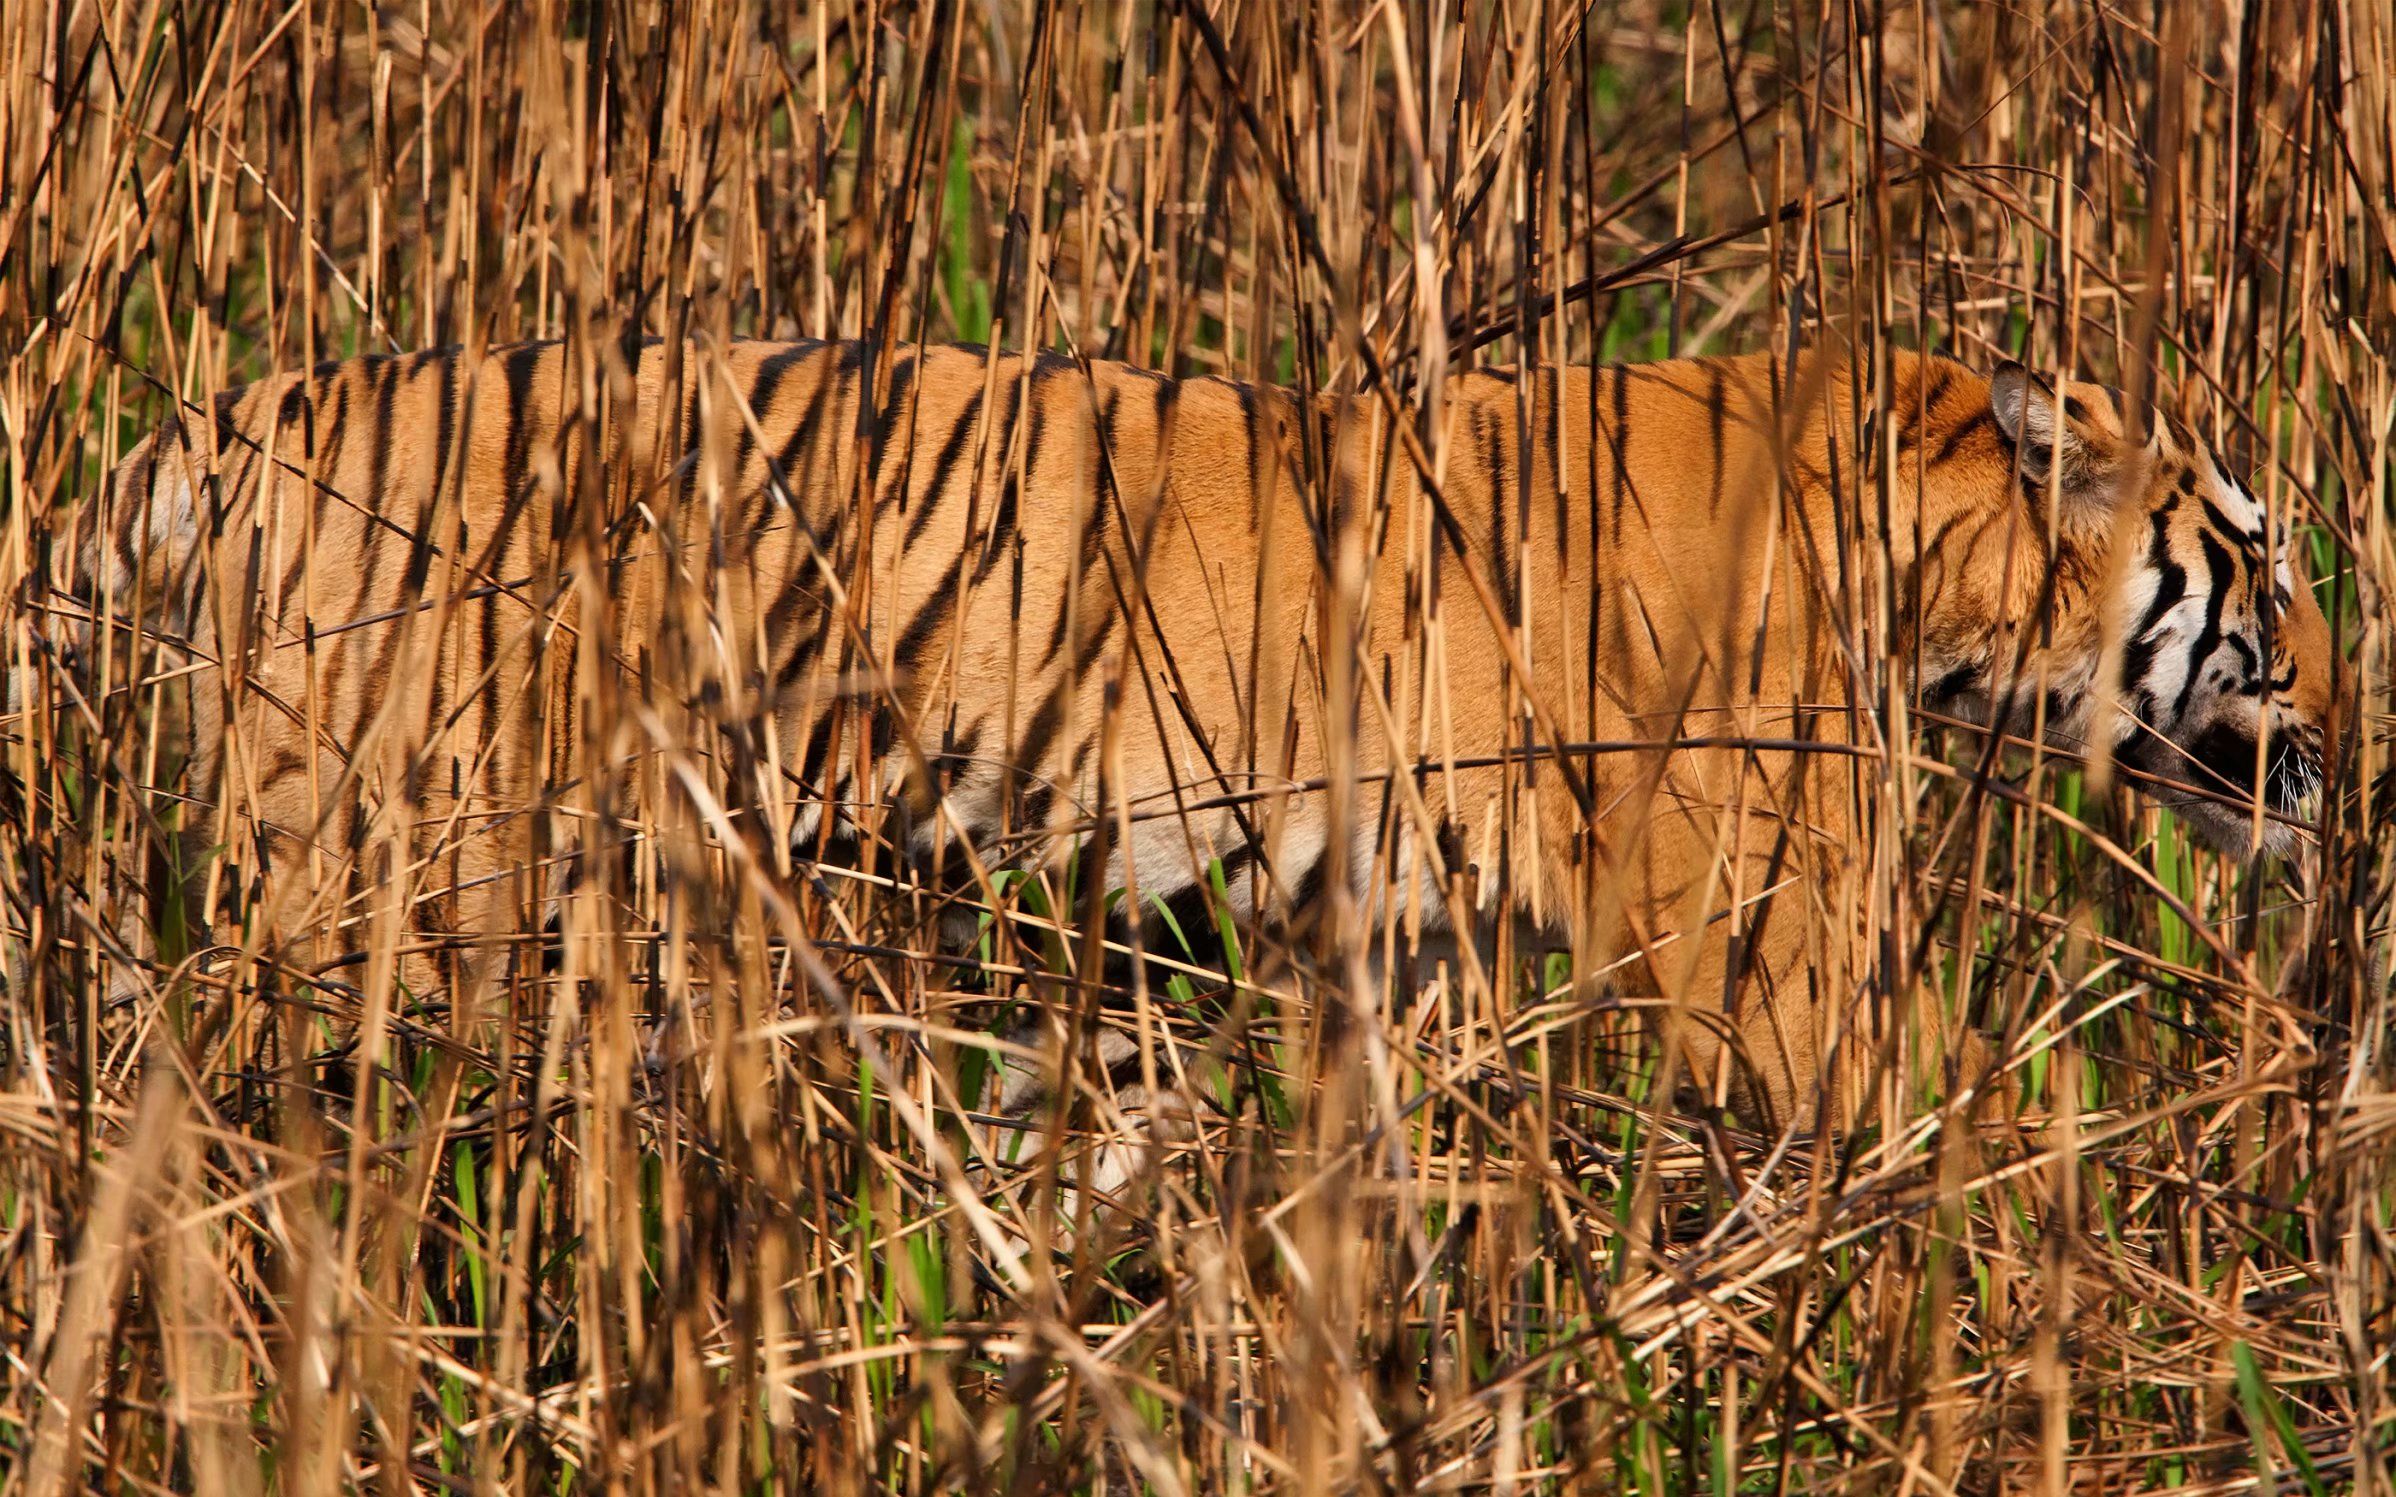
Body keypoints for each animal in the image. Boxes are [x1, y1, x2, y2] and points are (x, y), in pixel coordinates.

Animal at [42, 337, 2338, 1125]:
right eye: (2258, 557)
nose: (2341, 719)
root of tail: (215, 426)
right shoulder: (1762, 952)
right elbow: (1964, 1112)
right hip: (382, 863)